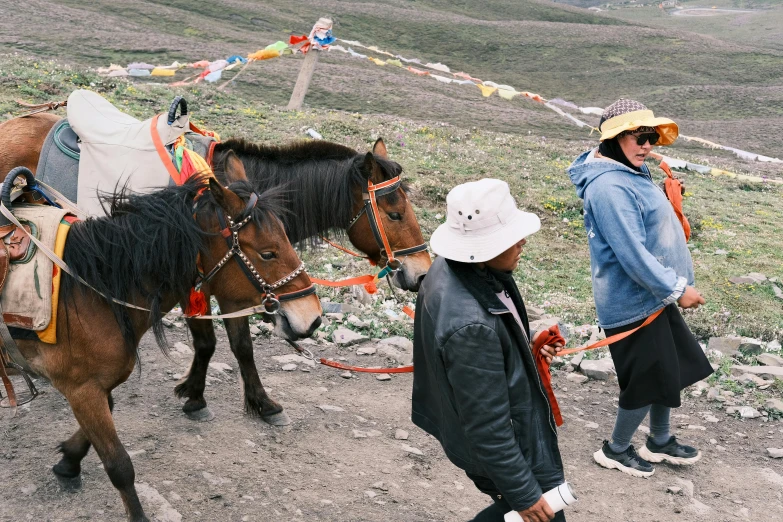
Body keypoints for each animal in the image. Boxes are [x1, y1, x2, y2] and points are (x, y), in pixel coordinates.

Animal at [2, 165, 322, 516]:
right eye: (267, 253)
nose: (313, 317)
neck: (90, 292)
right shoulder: (82, 389)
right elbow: (120, 466)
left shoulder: (93, 387)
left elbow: (106, 412)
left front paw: (68, 461)